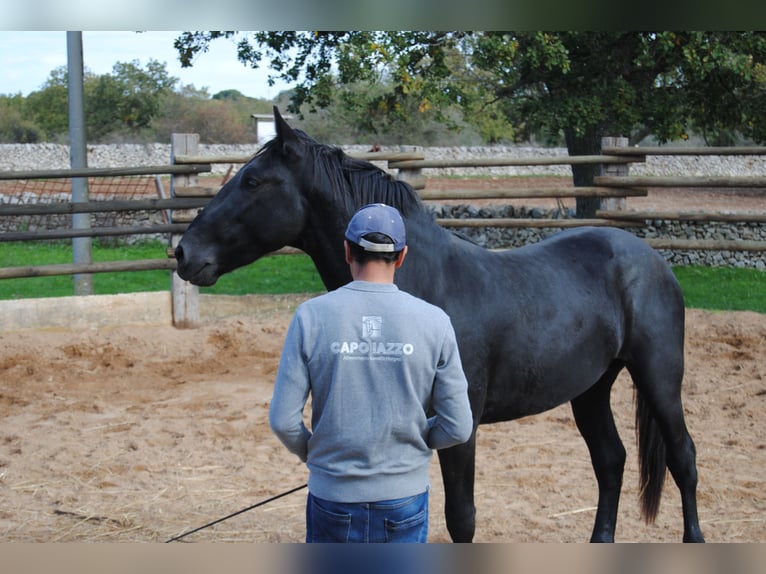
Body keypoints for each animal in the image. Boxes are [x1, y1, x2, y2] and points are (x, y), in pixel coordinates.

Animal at [176, 108, 708, 544]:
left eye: (253, 181)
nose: (183, 252)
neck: (423, 283)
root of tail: (649, 258)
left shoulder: (460, 427)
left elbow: (461, 519)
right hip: (592, 387)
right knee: (611, 461)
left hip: (659, 377)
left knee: (682, 458)